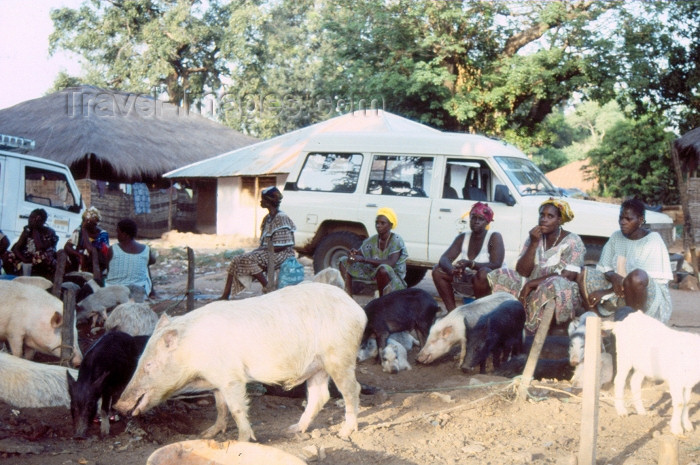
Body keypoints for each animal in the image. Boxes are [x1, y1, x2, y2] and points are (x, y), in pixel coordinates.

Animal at [115, 280, 366, 440]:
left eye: (149, 365)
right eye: (139, 361)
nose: (118, 405)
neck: (193, 355)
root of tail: (358, 310)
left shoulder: (231, 377)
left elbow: (236, 408)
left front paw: (242, 441)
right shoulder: (216, 381)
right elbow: (220, 407)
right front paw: (207, 434)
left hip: (339, 355)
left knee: (352, 389)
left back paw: (344, 432)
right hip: (317, 366)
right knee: (319, 396)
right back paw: (293, 429)